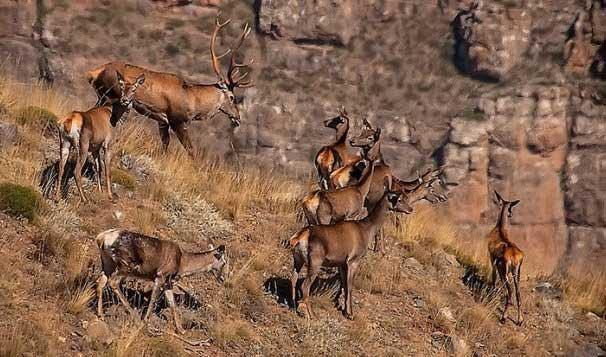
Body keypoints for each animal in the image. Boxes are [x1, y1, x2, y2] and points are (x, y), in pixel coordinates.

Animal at [55, 72, 146, 203]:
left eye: (134, 89)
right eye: (122, 87)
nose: (124, 100)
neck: (116, 117)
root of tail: (67, 122)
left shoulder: (95, 147)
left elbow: (98, 168)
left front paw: (100, 191)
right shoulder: (108, 143)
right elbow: (107, 170)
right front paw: (110, 195)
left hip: (64, 142)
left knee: (61, 168)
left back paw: (56, 197)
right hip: (82, 144)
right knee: (76, 171)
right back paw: (84, 199)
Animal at [86, 13, 253, 156]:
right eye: (232, 97)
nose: (238, 118)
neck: (194, 102)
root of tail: (95, 72)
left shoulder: (163, 122)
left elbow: (165, 146)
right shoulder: (177, 120)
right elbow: (191, 151)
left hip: (106, 97)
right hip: (112, 96)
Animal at [96, 228, 229, 334]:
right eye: (223, 262)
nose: (222, 279)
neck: (182, 264)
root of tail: (101, 238)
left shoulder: (168, 282)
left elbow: (172, 303)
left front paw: (180, 329)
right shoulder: (160, 276)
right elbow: (153, 299)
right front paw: (145, 321)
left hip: (107, 263)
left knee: (100, 282)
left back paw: (101, 314)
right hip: (126, 265)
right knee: (113, 282)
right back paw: (134, 315)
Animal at [290, 182, 414, 318]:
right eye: (399, 199)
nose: (410, 209)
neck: (367, 230)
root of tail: (299, 238)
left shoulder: (341, 263)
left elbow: (344, 285)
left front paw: (345, 310)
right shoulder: (353, 260)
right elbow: (349, 286)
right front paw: (350, 314)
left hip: (297, 259)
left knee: (293, 279)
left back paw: (293, 304)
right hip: (315, 262)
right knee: (304, 286)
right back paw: (311, 314)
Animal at [490, 191, 528, 324]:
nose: (510, 214)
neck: (500, 230)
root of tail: (515, 256)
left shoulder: (491, 260)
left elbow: (493, 279)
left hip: (505, 273)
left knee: (510, 293)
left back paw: (503, 318)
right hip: (516, 273)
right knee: (518, 293)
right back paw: (520, 320)